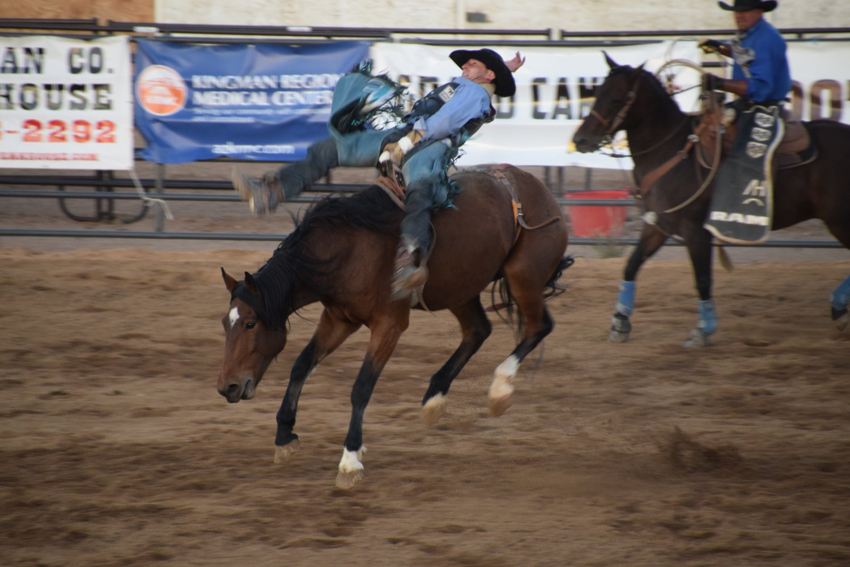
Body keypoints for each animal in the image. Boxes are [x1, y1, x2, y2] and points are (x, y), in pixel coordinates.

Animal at [217, 164, 568, 488]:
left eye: (250, 323)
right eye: (225, 322)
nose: (226, 387)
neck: (348, 249)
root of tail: (540, 190)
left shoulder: (389, 325)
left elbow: (361, 387)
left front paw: (350, 459)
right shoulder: (339, 319)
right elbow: (301, 366)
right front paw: (285, 436)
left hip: (523, 276)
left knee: (539, 327)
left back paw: (499, 389)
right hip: (461, 287)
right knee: (478, 330)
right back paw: (434, 399)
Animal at [568, 55, 848, 346]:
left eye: (616, 99)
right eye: (597, 93)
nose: (580, 139)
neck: (672, 151)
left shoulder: (695, 231)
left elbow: (702, 279)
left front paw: (703, 330)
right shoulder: (658, 225)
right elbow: (631, 266)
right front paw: (620, 322)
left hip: (840, 219)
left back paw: (839, 306)